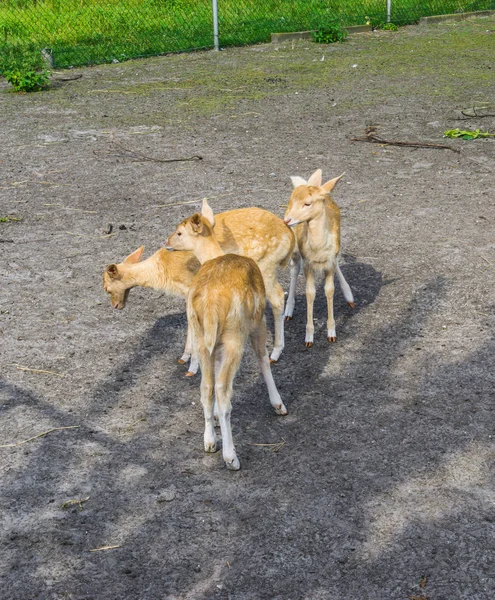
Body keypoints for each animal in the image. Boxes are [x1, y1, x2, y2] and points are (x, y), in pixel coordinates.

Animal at [166, 213, 286, 472]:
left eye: (179, 231)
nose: (166, 242)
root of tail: (210, 304)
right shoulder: (257, 321)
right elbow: (263, 359)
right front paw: (279, 404)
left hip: (202, 340)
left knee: (205, 387)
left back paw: (210, 441)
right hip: (234, 336)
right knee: (222, 390)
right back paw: (231, 457)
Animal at [282, 169, 356, 346]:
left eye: (307, 204)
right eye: (292, 201)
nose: (287, 220)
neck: (318, 249)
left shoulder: (329, 262)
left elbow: (329, 290)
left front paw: (332, 334)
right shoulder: (308, 263)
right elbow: (310, 293)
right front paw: (309, 338)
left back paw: (349, 296)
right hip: (295, 248)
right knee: (294, 269)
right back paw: (288, 311)